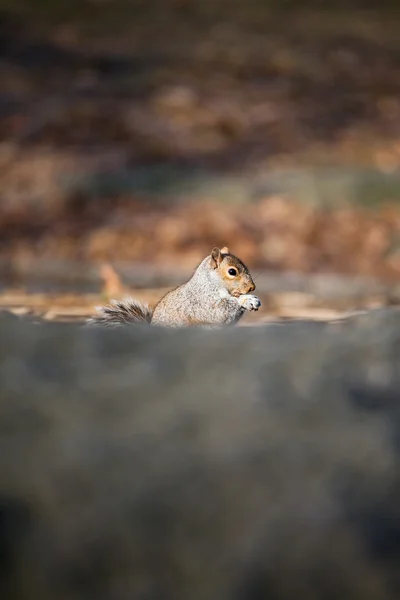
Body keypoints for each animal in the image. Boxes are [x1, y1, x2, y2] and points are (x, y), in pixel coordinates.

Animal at [87, 245, 260, 328]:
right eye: (232, 271)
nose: (252, 287)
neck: (210, 283)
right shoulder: (202, 302)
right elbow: (218, 312)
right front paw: (246, 300)